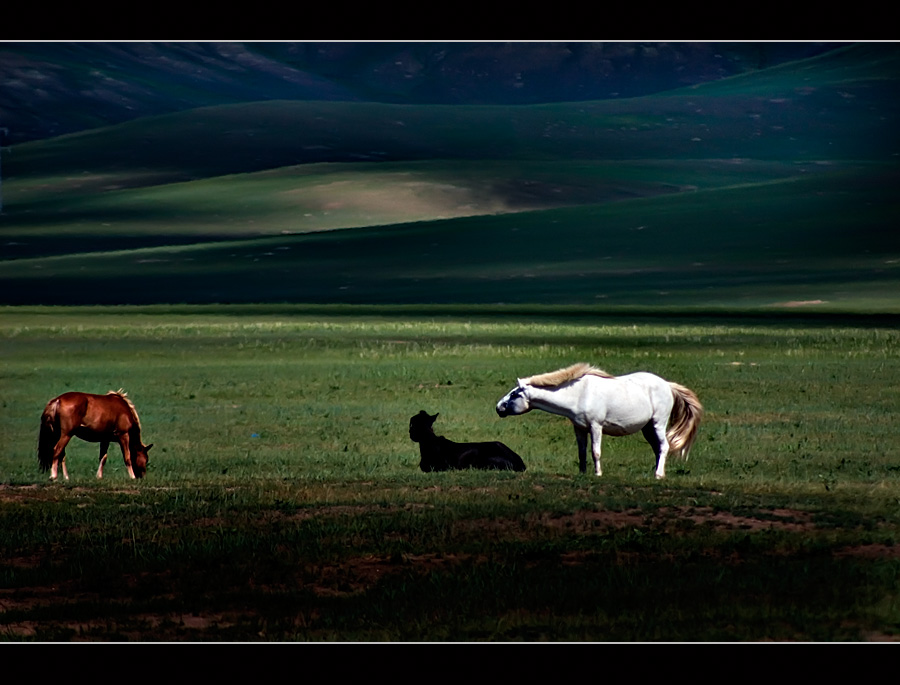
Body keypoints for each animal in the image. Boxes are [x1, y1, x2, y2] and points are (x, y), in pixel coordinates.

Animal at [500, 360, 704, 478]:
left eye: (514, 394)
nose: (498, 407)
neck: (579, 393)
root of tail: (667, 385)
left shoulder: (596, 427)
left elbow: (595, 452)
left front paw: (598, 473)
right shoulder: (579, 428)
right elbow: (582, 452)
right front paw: (582, 473)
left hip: (658, 424)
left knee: (664, 446)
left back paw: (658, 475)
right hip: (647, 428)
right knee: (657, 448)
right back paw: (657, 472)